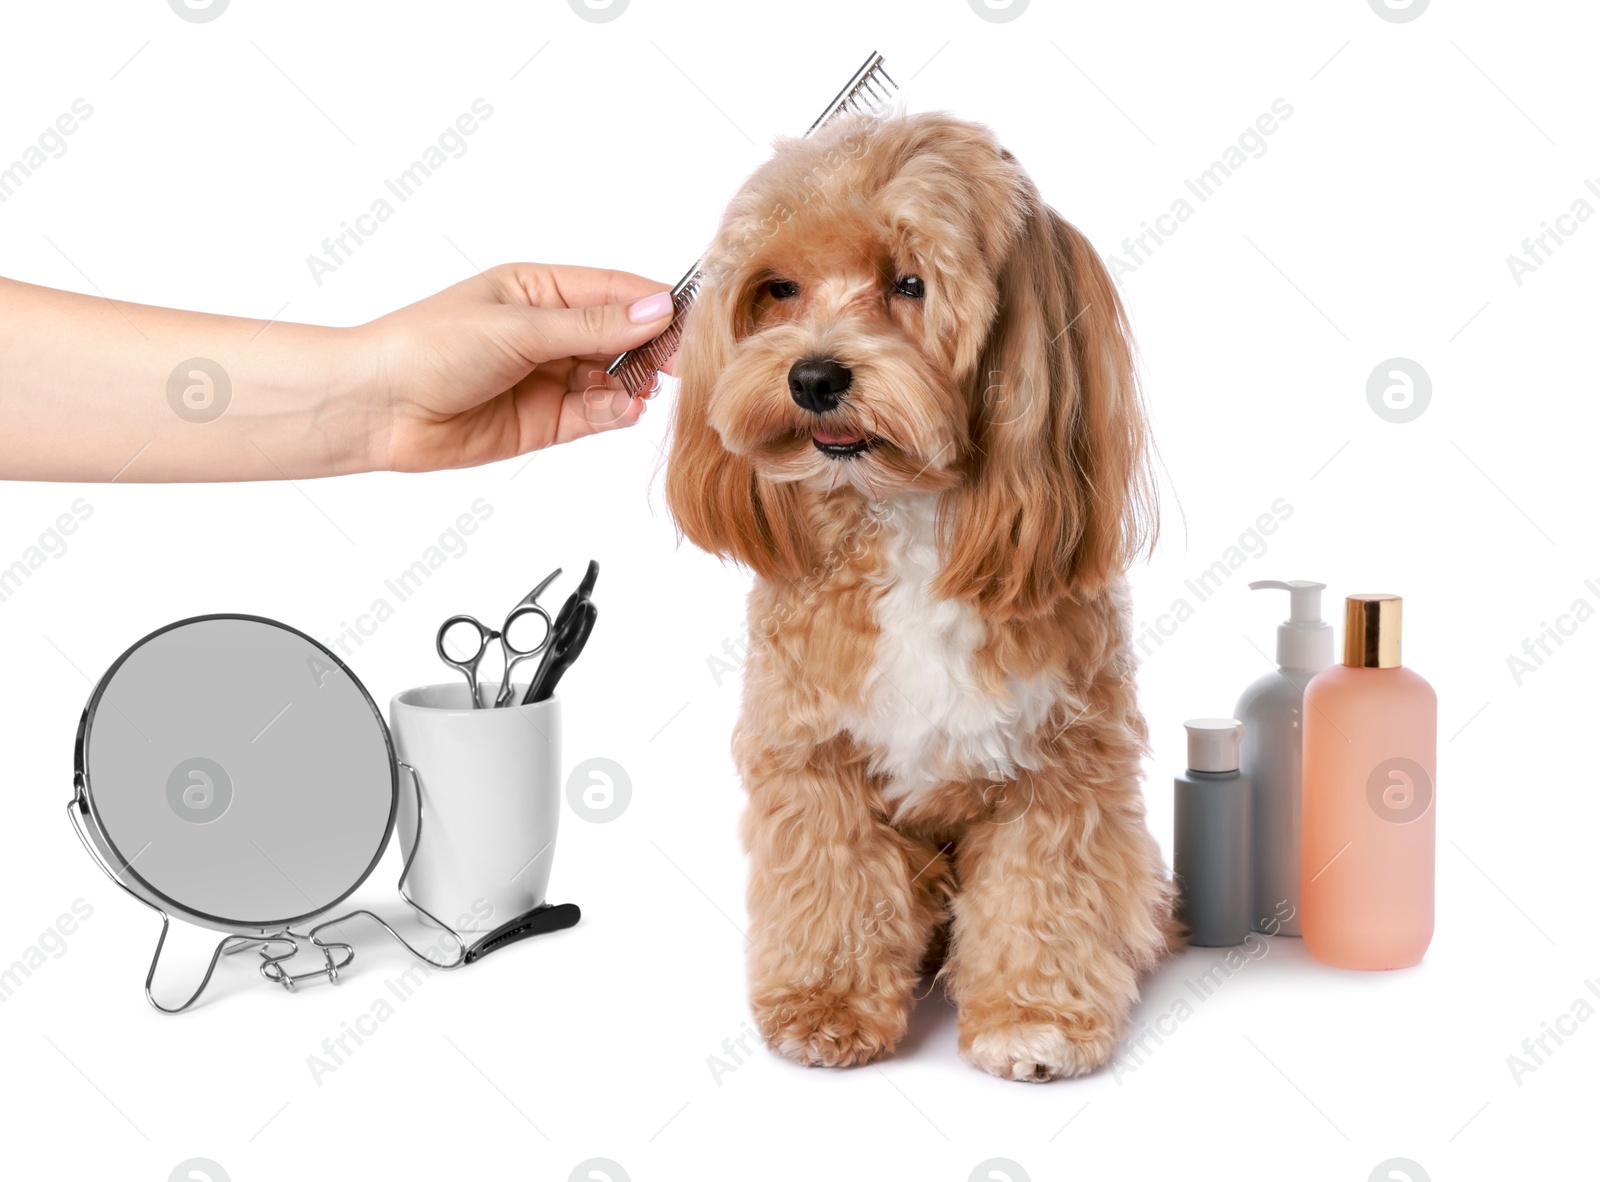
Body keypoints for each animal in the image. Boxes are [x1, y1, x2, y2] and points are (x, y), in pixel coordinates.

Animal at [662, 111, 1177, 1081]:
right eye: (779, 288)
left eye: (911, 282)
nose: (814, 378)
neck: (908, 516)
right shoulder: (814, 757)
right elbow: (832, 888)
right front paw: (825, 1006)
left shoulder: (1062, 767)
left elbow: (1042, 899)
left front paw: (1034, 1019)